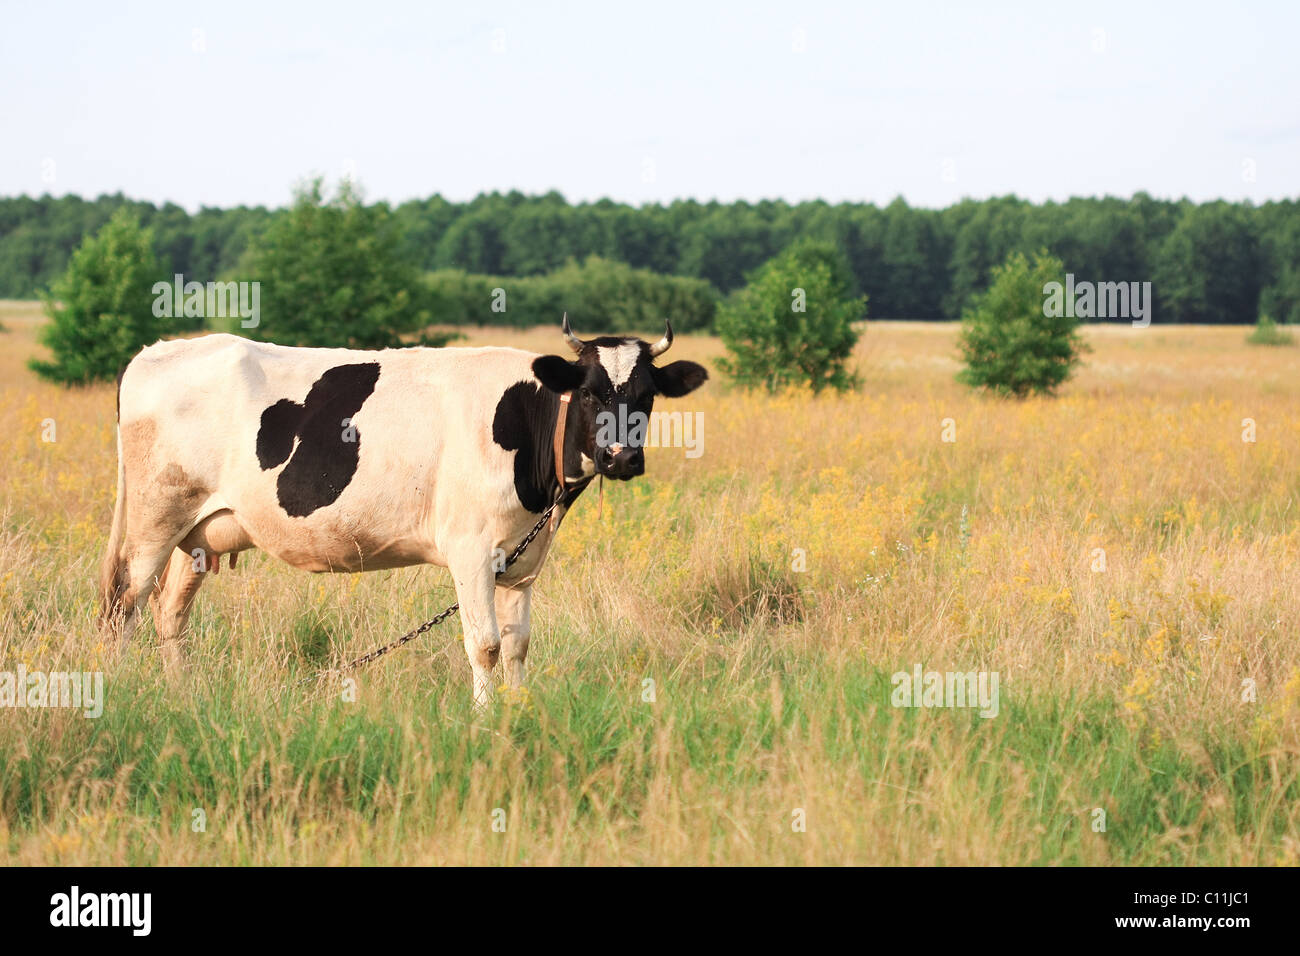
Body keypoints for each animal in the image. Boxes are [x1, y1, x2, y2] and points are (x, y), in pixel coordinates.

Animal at [98, 317, 708, 703]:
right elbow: (485, 646)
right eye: (588, 392)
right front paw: (485, 724)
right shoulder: (470, 551)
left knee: (170, 614)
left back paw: (183, 696)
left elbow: (517, 647)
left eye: (647, 395)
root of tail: (155, 351)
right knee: (124, 606)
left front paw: (519, 713)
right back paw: (117, 693)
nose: (621, 456)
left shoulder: (522, 561)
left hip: (197, 534)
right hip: (154, 521)